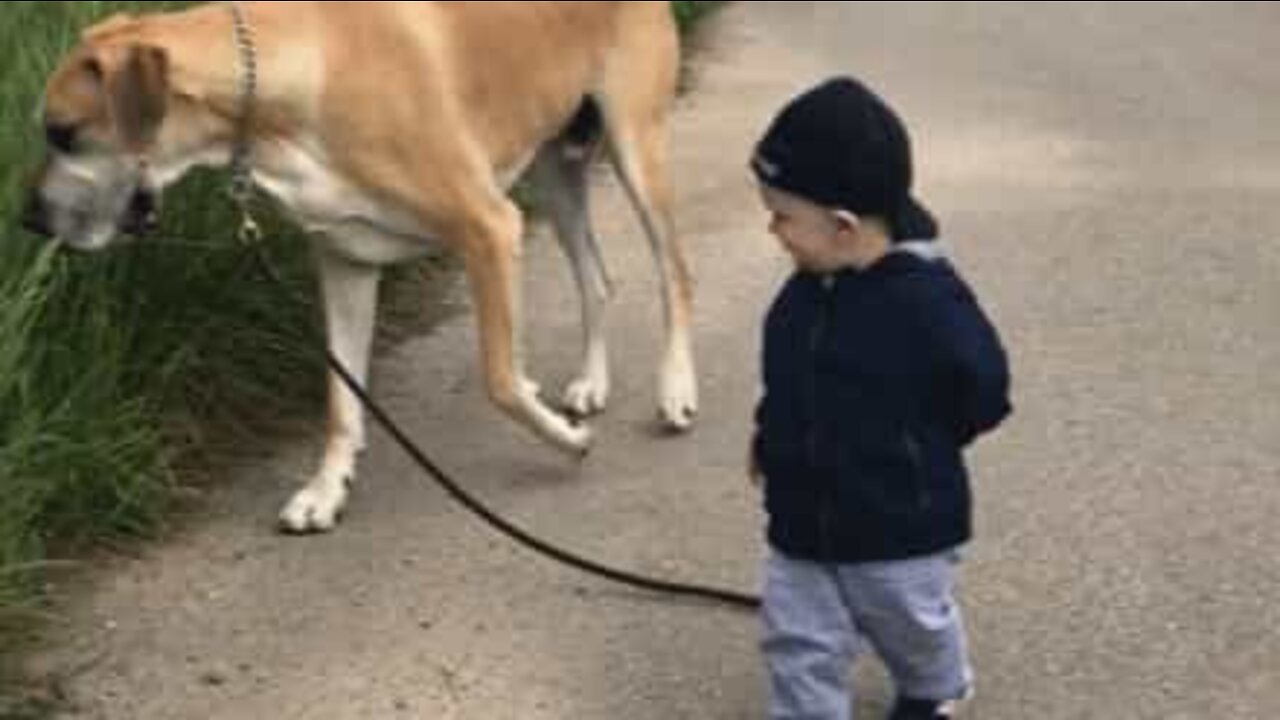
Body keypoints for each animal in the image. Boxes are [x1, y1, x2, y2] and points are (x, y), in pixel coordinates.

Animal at [22, 1, 701, 532]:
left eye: (64, 132)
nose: (31, 219)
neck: (292, 80)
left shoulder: (489, 229)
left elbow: (501, 380)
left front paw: (565, 438)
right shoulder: (345, 261)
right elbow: (341, 403)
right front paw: (326, 489)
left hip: (636, 145)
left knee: (674, 274)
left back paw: (676, 388)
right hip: (554, 169)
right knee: (596, 277)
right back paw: (592, 381)